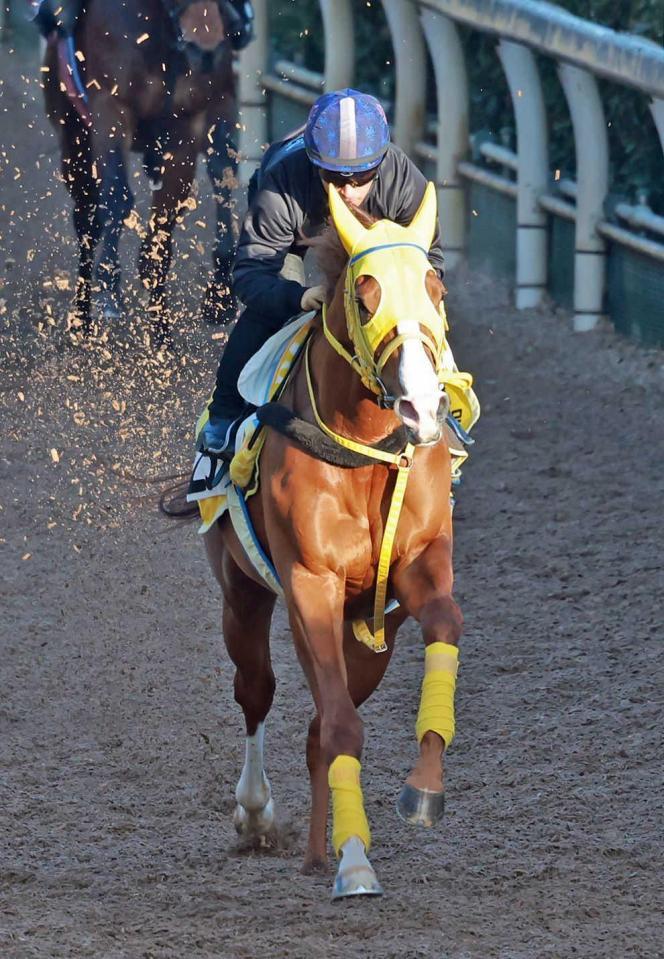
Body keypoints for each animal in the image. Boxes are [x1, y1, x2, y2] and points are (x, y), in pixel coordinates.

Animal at [40, 0, 250, 344]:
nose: (204, 48)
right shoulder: (110, 108)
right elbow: (117, 199)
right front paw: (110, 286)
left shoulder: (196, 121)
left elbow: (169, 227)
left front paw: (210, 302)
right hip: (73, 137)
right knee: (86, 221)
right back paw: (81, 318)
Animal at [205, 182, 470, 900]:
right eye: (366, 293)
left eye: (435, 285)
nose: (422, 408)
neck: (365, 451)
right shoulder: (310, 584)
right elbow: (338, 724)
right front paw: (356, 862)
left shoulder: (417, 571)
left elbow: (446, 626)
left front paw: (423, 789)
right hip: (243, 592)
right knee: (259, 690)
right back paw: (261, 817)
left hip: (369, 637)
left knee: (319, 724)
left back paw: (317, 852)